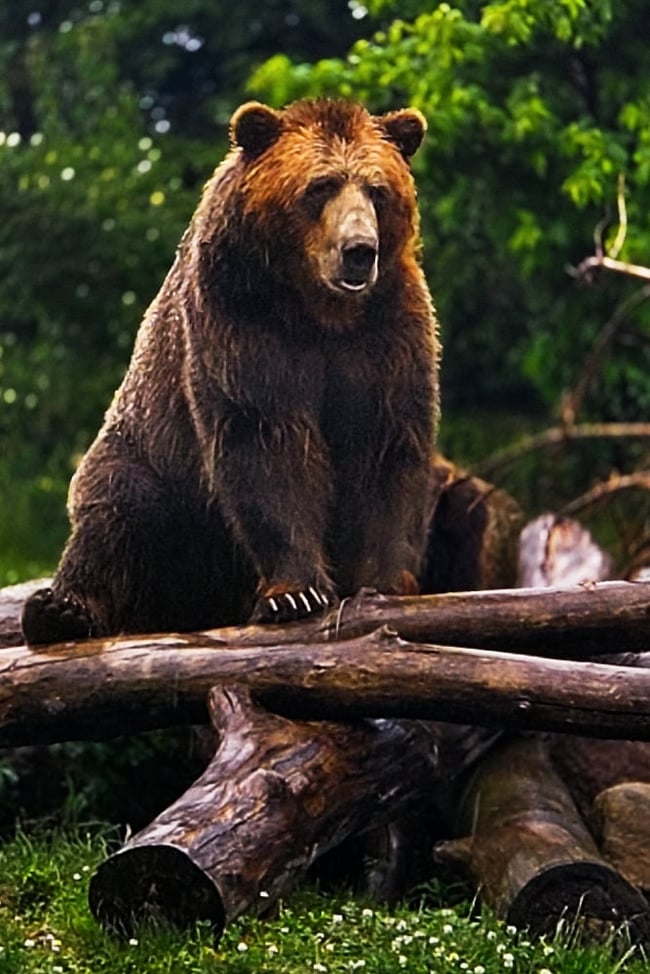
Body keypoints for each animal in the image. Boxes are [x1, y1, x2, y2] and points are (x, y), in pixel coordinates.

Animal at [21, 98, 440, 644]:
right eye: (320, 185)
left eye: (377, 190)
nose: (358, 250)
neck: (320, 311)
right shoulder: (240, 315)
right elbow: (263, 439)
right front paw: (294, 593)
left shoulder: (386, 330)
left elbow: (386, 444)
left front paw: (386, 583)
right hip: (152, 465)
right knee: (115, 511)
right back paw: (60, 610)